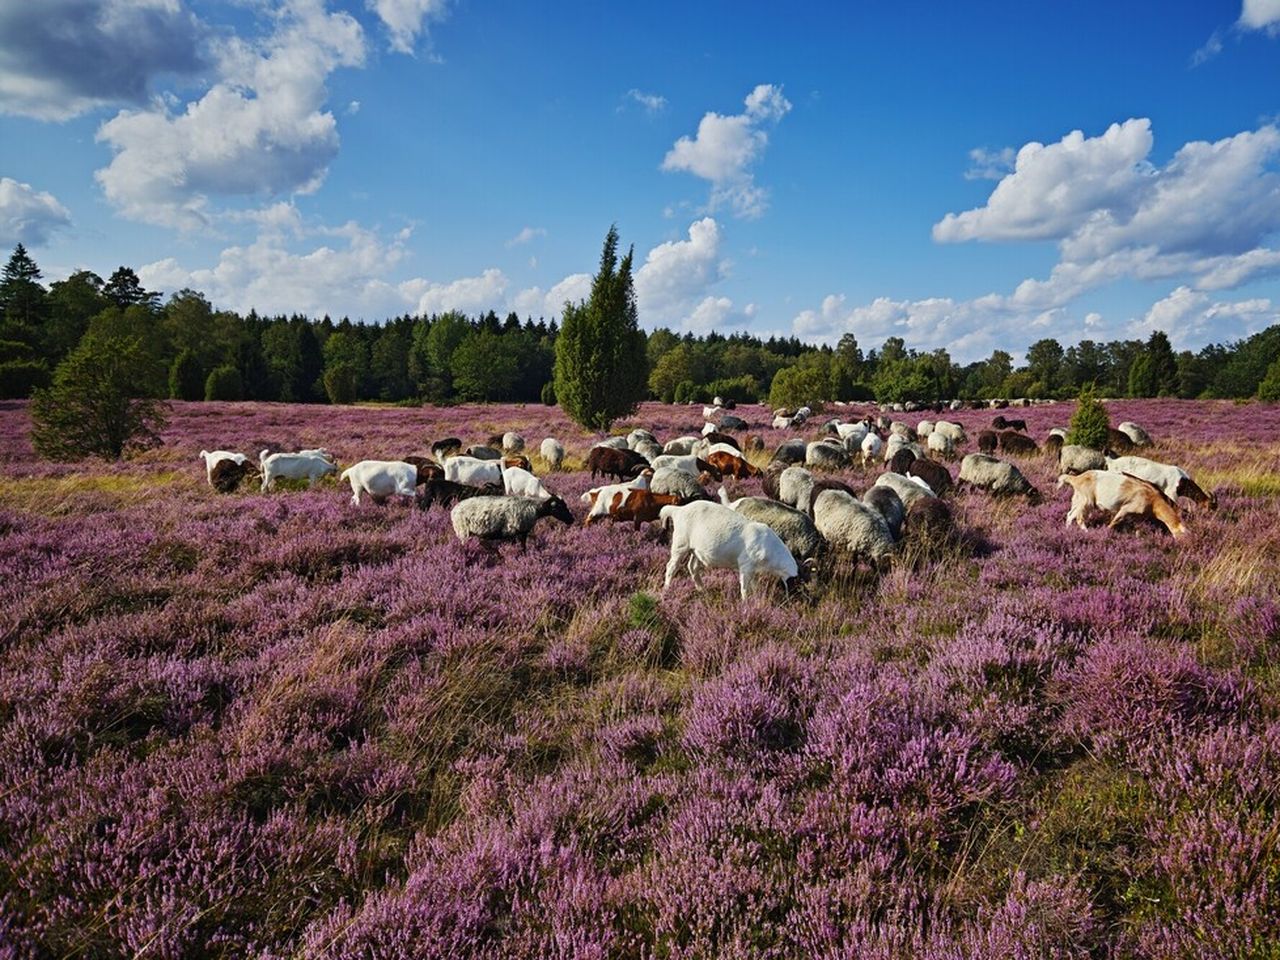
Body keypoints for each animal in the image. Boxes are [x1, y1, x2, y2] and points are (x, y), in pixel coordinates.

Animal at [660, 499, 798, 599]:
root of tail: (678, 510)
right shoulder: (745, 565)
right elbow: (744, 587)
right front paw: (745, 602)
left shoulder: (753, 570)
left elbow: (754, 585)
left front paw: (756, 598)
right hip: (680, 543)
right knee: (671, 566)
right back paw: (667, 590)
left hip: (696, 550)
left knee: (692, 567)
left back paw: (702, 590)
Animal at [1054, 473, 1182, 542]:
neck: (1153, 501)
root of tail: (1077, 479)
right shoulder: (1125, 509)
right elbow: (1115, 521)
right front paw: (1105, 532)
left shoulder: (1138, 516)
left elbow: (1138, 527)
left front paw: (1138, 538)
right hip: (1086, 501)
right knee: (1079, 517)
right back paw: (1086, 532)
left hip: (1078, 499)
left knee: (1070, 514)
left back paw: (1067, 530)